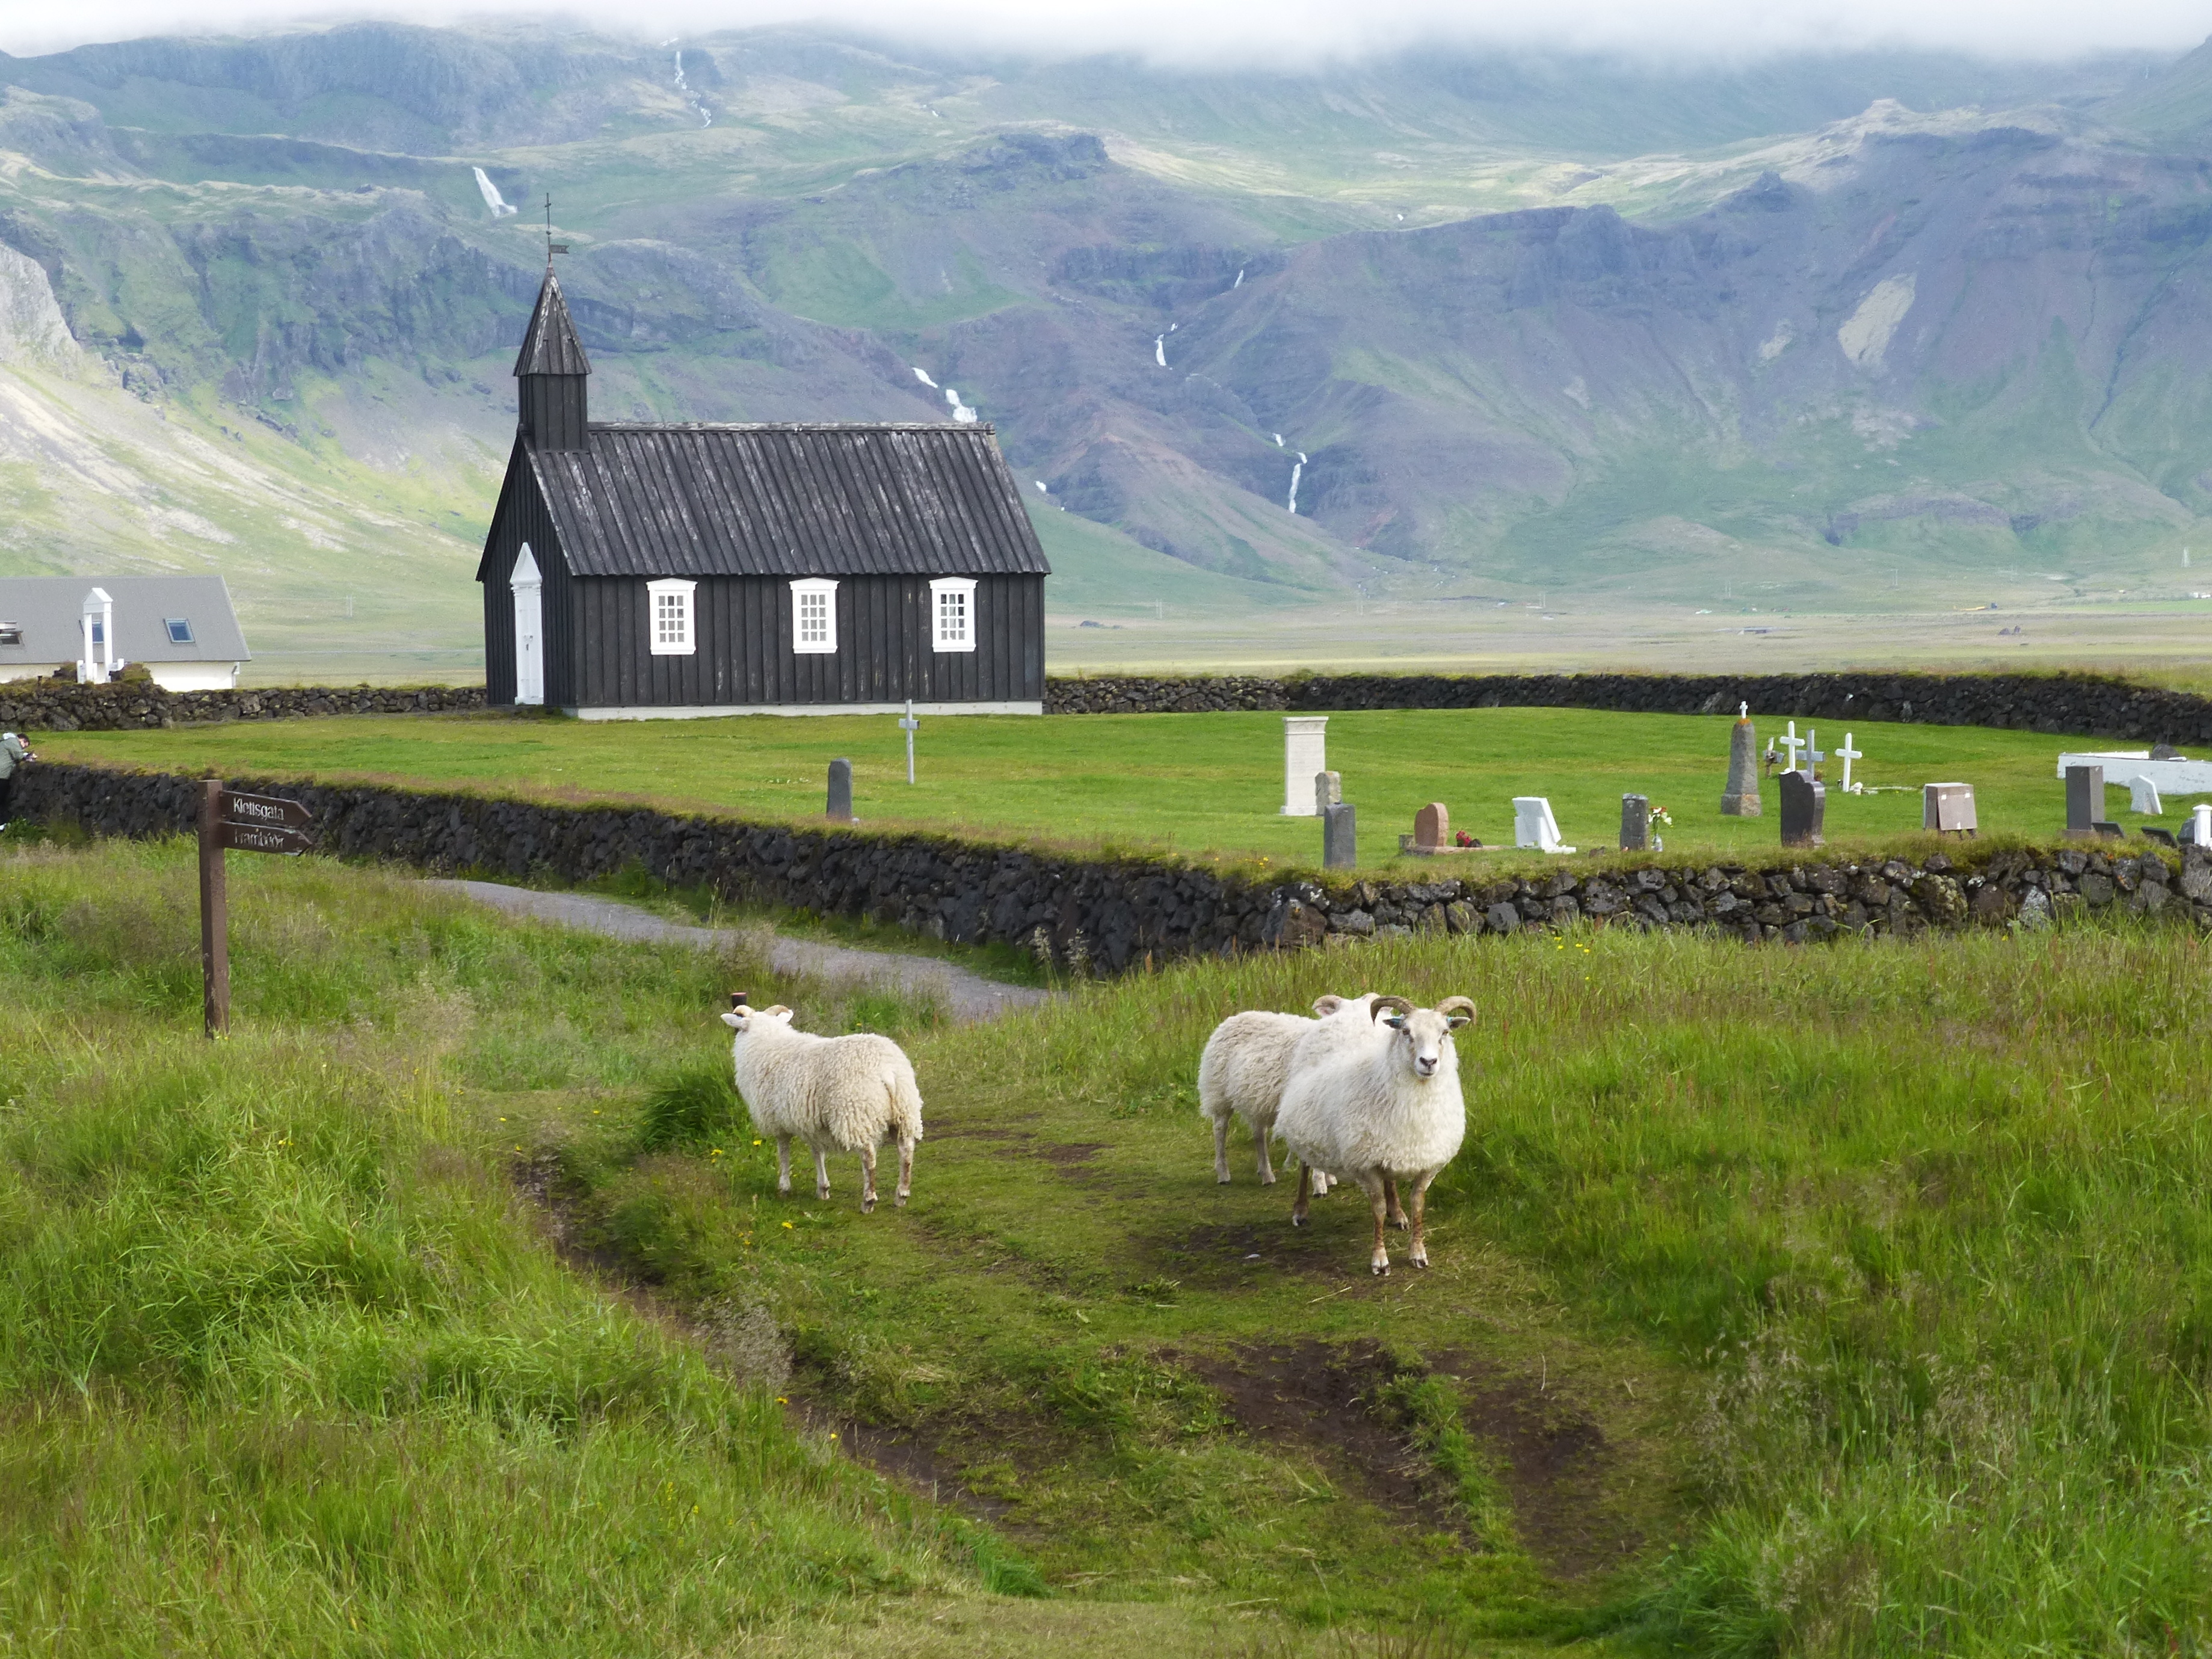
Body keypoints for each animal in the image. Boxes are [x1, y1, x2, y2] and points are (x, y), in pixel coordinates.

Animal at [721, 995, 920, 1212]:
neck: (767, 1041)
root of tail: (887, 1070)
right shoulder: (811, 1123)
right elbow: (818, 1153)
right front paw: (823, 1189)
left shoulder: (778, 1121)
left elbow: (783, 1152)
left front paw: (784, 1187)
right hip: (904, 1109)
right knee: (906, 1150)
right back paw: (901, 1195)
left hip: (856, 1113)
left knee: (869, 1157)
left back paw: (868, 1201)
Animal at [1194, 995, 1363, 1186]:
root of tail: (1234, 1017)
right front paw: (1320, 1183)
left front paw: (1328, 1178)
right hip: (1218, 1092)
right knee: (1220, 1130)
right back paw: (1223, 1173)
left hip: (1256, 1099)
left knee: (1259, 1135)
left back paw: (1266, 1173)